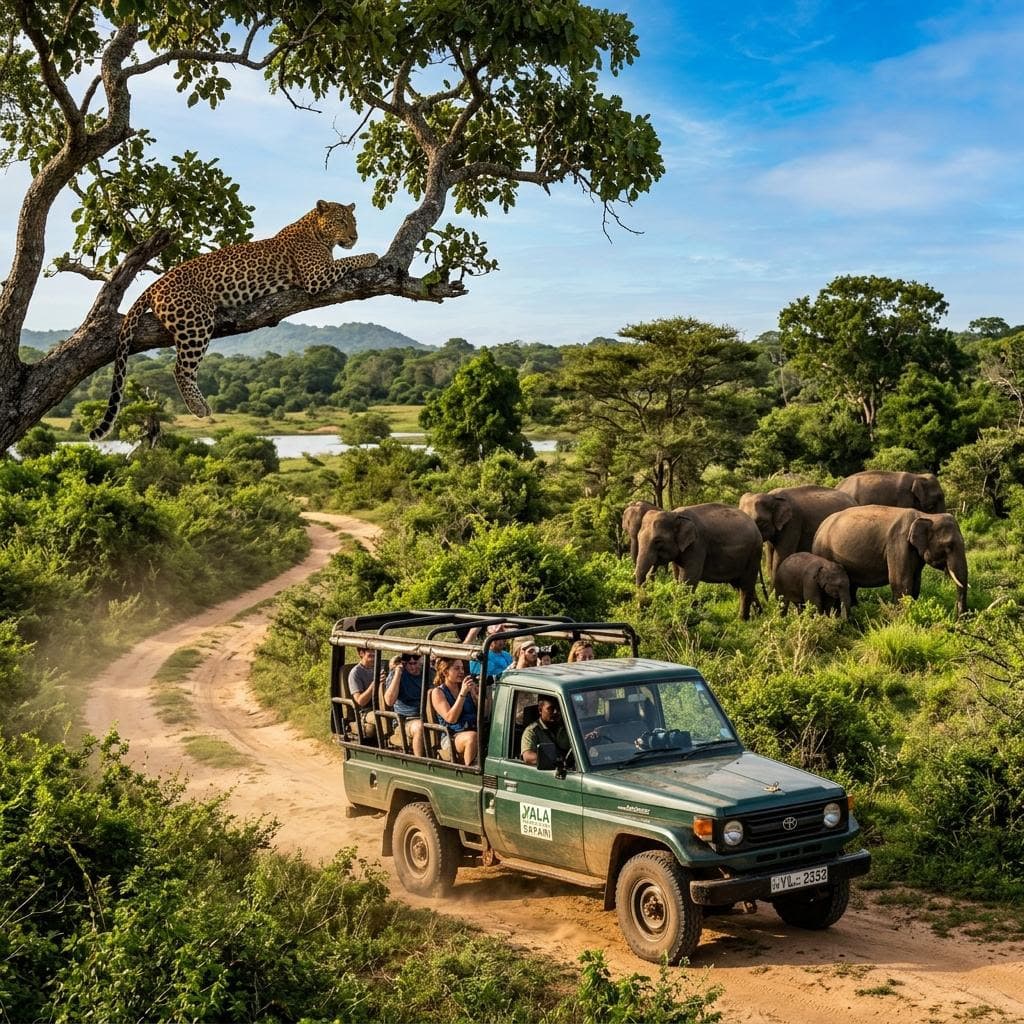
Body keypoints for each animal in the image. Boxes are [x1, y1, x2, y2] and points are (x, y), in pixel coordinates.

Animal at [635, 503, 764, 620]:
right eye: (638, 538)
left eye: (658, 541)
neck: (674, 514)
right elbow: (677, 577)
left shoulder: (697, 545)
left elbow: (689, 579)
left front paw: (685, 616)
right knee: (740, 585)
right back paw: (759, 615)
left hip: (754, 552)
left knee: (746, 585)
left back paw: (742, 620)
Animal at [812, 505, 968, 615]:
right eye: (949, 546)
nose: (958, 619)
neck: (925, 515)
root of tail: (820, 527)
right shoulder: (898, 543)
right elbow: (901, 583)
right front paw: (902, 619)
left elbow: (916, 583)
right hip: (824, 553)